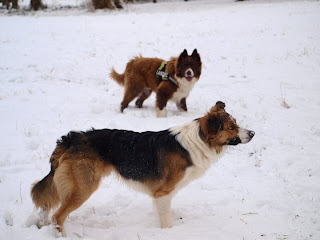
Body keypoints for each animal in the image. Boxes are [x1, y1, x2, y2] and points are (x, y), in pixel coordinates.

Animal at [30, 101, 255, 234]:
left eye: (236, 123)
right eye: (231, 127)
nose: (253, 133)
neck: (197, 142)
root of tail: (71, 138)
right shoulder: (163, 193)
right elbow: (167, 221)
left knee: (46, 207)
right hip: (83, 187)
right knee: (58, 216)